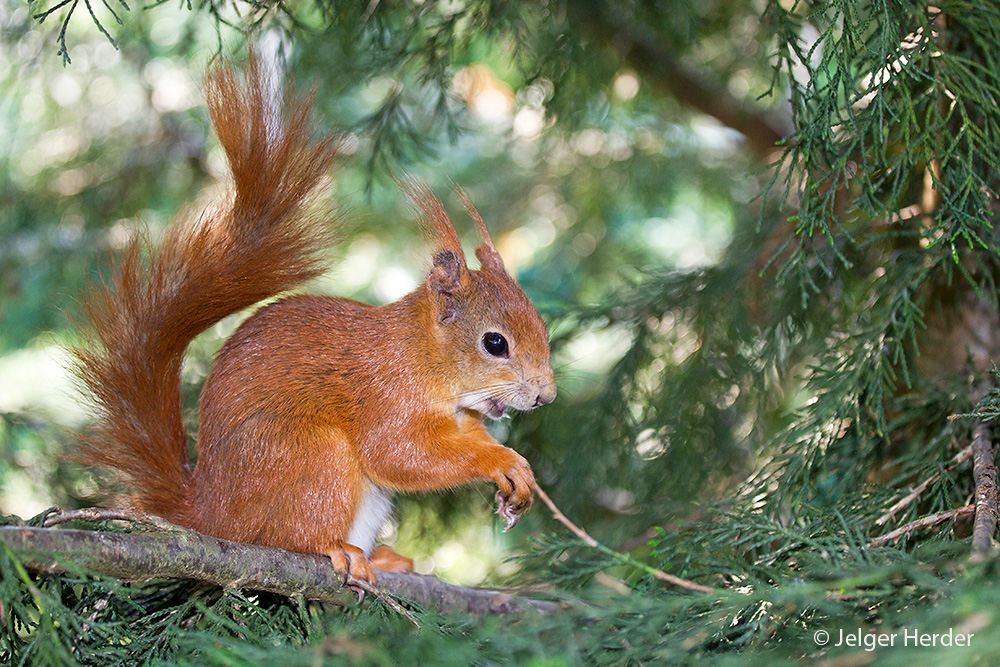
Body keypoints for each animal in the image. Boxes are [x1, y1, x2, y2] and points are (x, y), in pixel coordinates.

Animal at [72, 60, 556, 588]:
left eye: (544, 329)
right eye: (495, 343)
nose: (546, 397)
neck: (422, 355)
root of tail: (212, 516)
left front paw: (520, 473)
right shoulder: (385, 395)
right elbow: (399, 455)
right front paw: (499, 460)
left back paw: (380, 558)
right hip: (311, 456)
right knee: (287, 535)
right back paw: (333, 549)